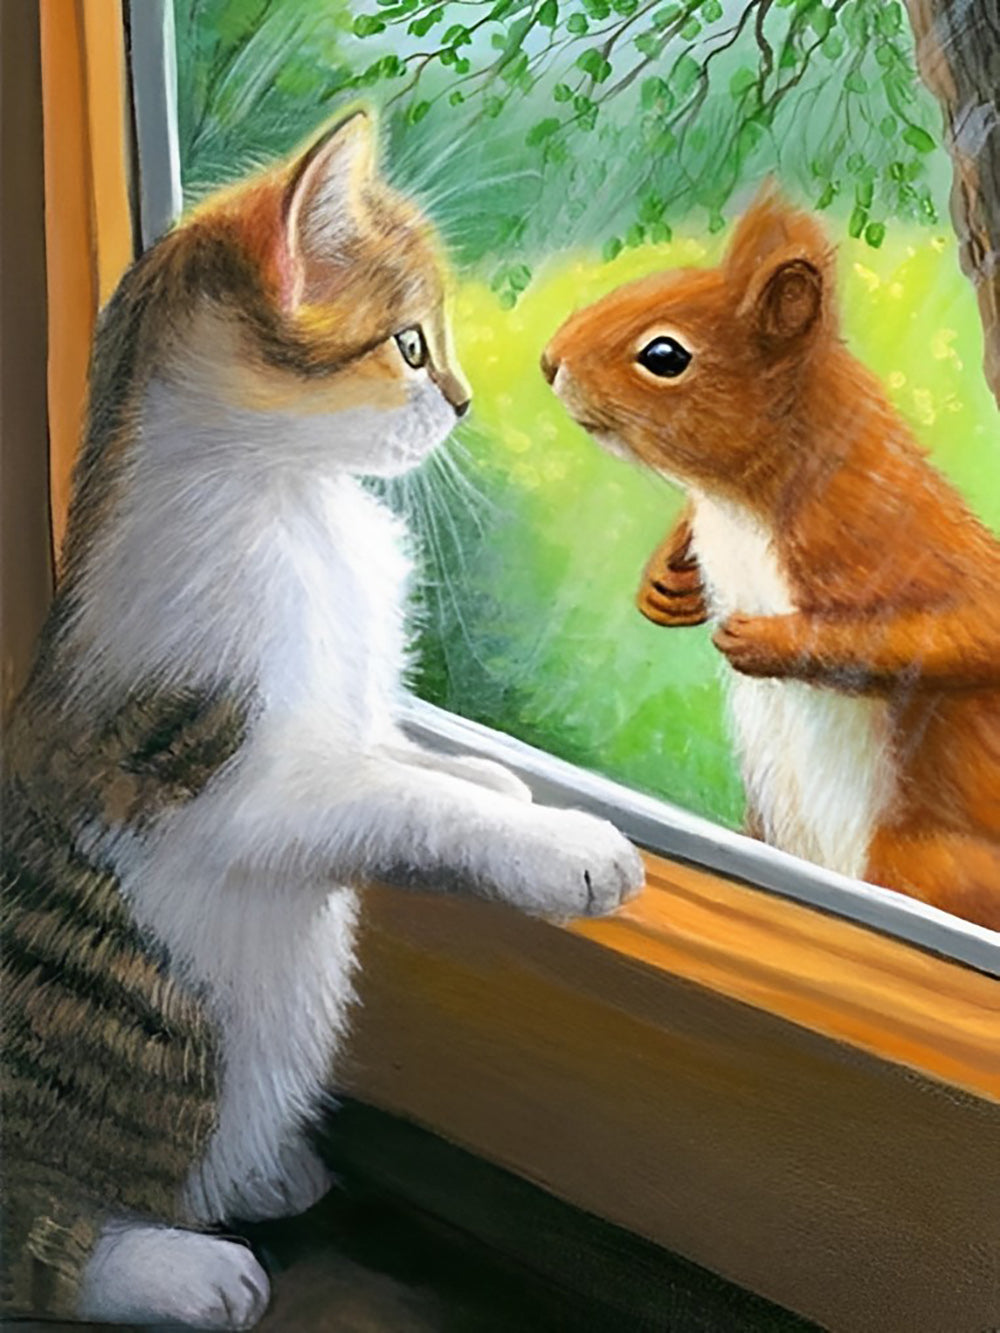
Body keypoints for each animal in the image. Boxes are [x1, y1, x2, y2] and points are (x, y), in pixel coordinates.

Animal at [542, 190, 1000, 930]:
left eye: (664, 354)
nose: (549, 360)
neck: (735, 503)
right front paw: (666, 585)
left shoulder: (885, 530)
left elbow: (963, 629)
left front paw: (767, 642)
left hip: (918, 862)